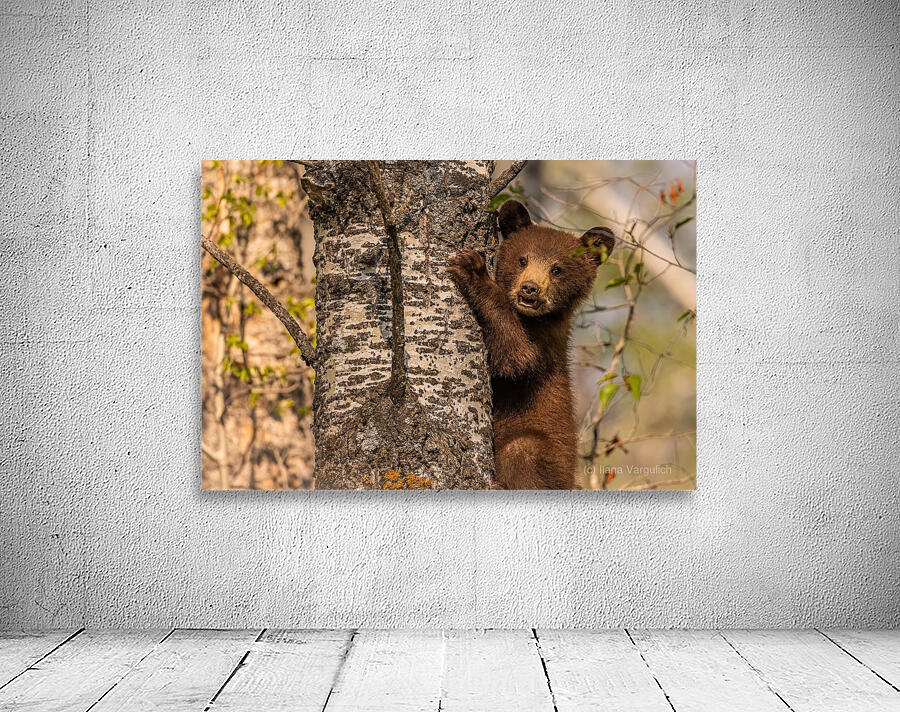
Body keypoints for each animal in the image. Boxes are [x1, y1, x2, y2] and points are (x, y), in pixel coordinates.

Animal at [447, 200, 615, 490]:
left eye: (557, 269)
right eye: (522, 259)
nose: (529, 288)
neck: (534, 319)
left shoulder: (544, 342)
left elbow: (516, 357)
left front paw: (473, 270)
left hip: (547, 456)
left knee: (522, 452)